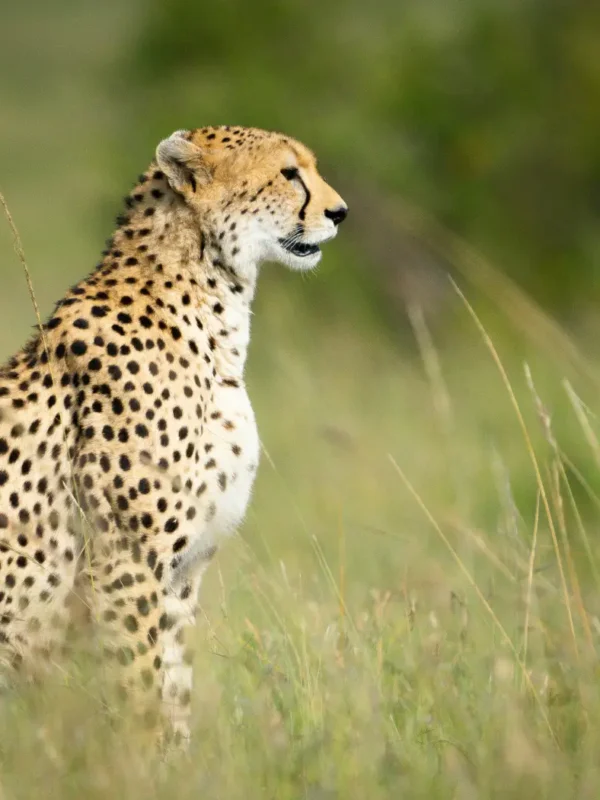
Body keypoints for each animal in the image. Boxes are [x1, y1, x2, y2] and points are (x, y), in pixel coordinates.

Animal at [0, 125, 347, 746]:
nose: (341, 212)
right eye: (288, 173)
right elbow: (139, 687)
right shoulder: (125, 561)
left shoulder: (183, 574)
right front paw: (140, 759)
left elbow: (174, 688)